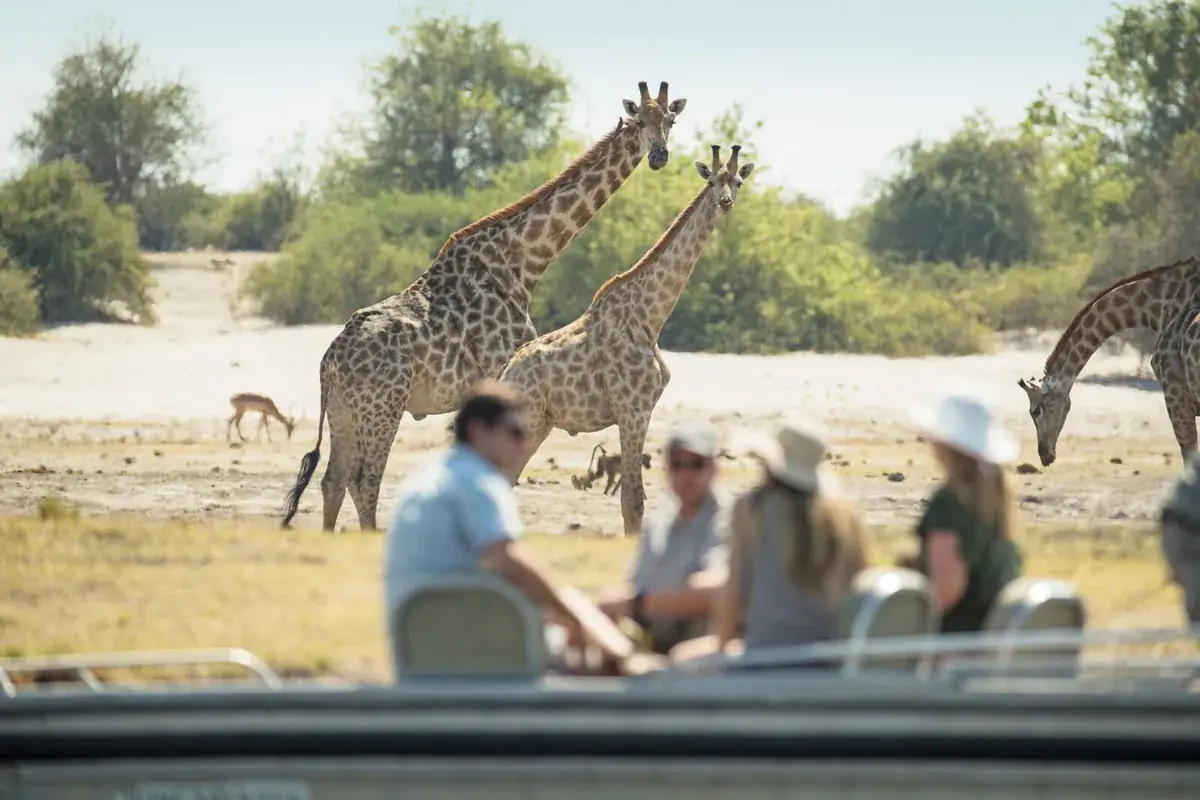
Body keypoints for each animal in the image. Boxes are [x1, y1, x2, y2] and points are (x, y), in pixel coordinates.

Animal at [280, 81, 688, 531]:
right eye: (640, 122)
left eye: (670, 120)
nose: (659, 156)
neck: (521, 265)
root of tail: (329, 362)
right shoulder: (499, 370)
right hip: (382, 406)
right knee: (364, 480)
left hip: (343, 410)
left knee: (332, 479)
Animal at [499, 144, 755, 536]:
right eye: (711, 180)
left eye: (738, 181)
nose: (724, 202)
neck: (650, 319)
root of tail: (504, 374)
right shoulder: (631, 409)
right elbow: (632, 500)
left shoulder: (644, 410)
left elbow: (636, 498)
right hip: (528, 419)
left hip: (541, 423)